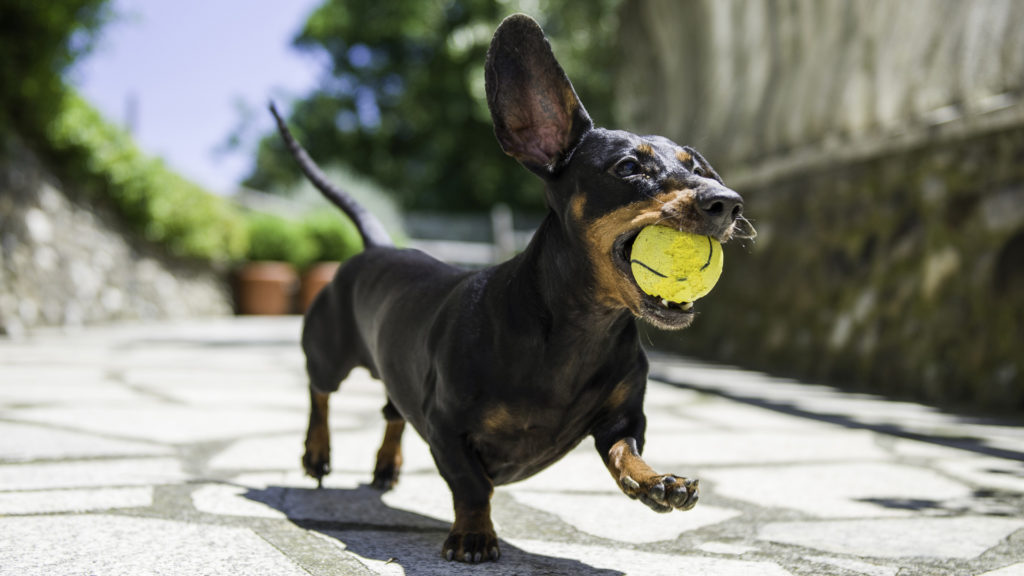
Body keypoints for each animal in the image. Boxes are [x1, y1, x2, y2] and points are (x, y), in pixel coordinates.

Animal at [272, 12, 749, 561]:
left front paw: (656, 483)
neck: (578, 332)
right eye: (629, 167)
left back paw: (387, 465)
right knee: (320, 393)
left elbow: (624, 451)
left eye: (697, 166)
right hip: (328, 351)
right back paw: (317, 452)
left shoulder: (624, 418)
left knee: (391, 411)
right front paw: (473, 535)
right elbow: (472, 486)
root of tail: (377, 246)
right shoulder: (446, 425)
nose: (728, 202)